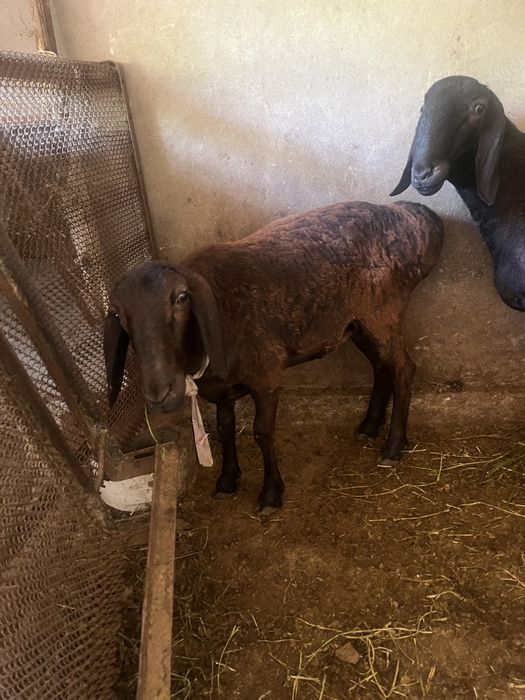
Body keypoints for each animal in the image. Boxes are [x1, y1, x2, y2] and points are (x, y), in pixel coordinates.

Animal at [104, 201, 443, 509]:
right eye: (118, 315)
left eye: (182, 297)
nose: (160, 395)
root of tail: (418, 218)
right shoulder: (221, 390)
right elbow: (225, 428)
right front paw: (227, 480)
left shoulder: (266, 377)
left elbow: (262, 433)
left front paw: (270, 494)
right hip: (359, 324)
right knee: (381, 368)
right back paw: (369, 426)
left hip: (382, 314)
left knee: (403, 370)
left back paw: (393, 446)